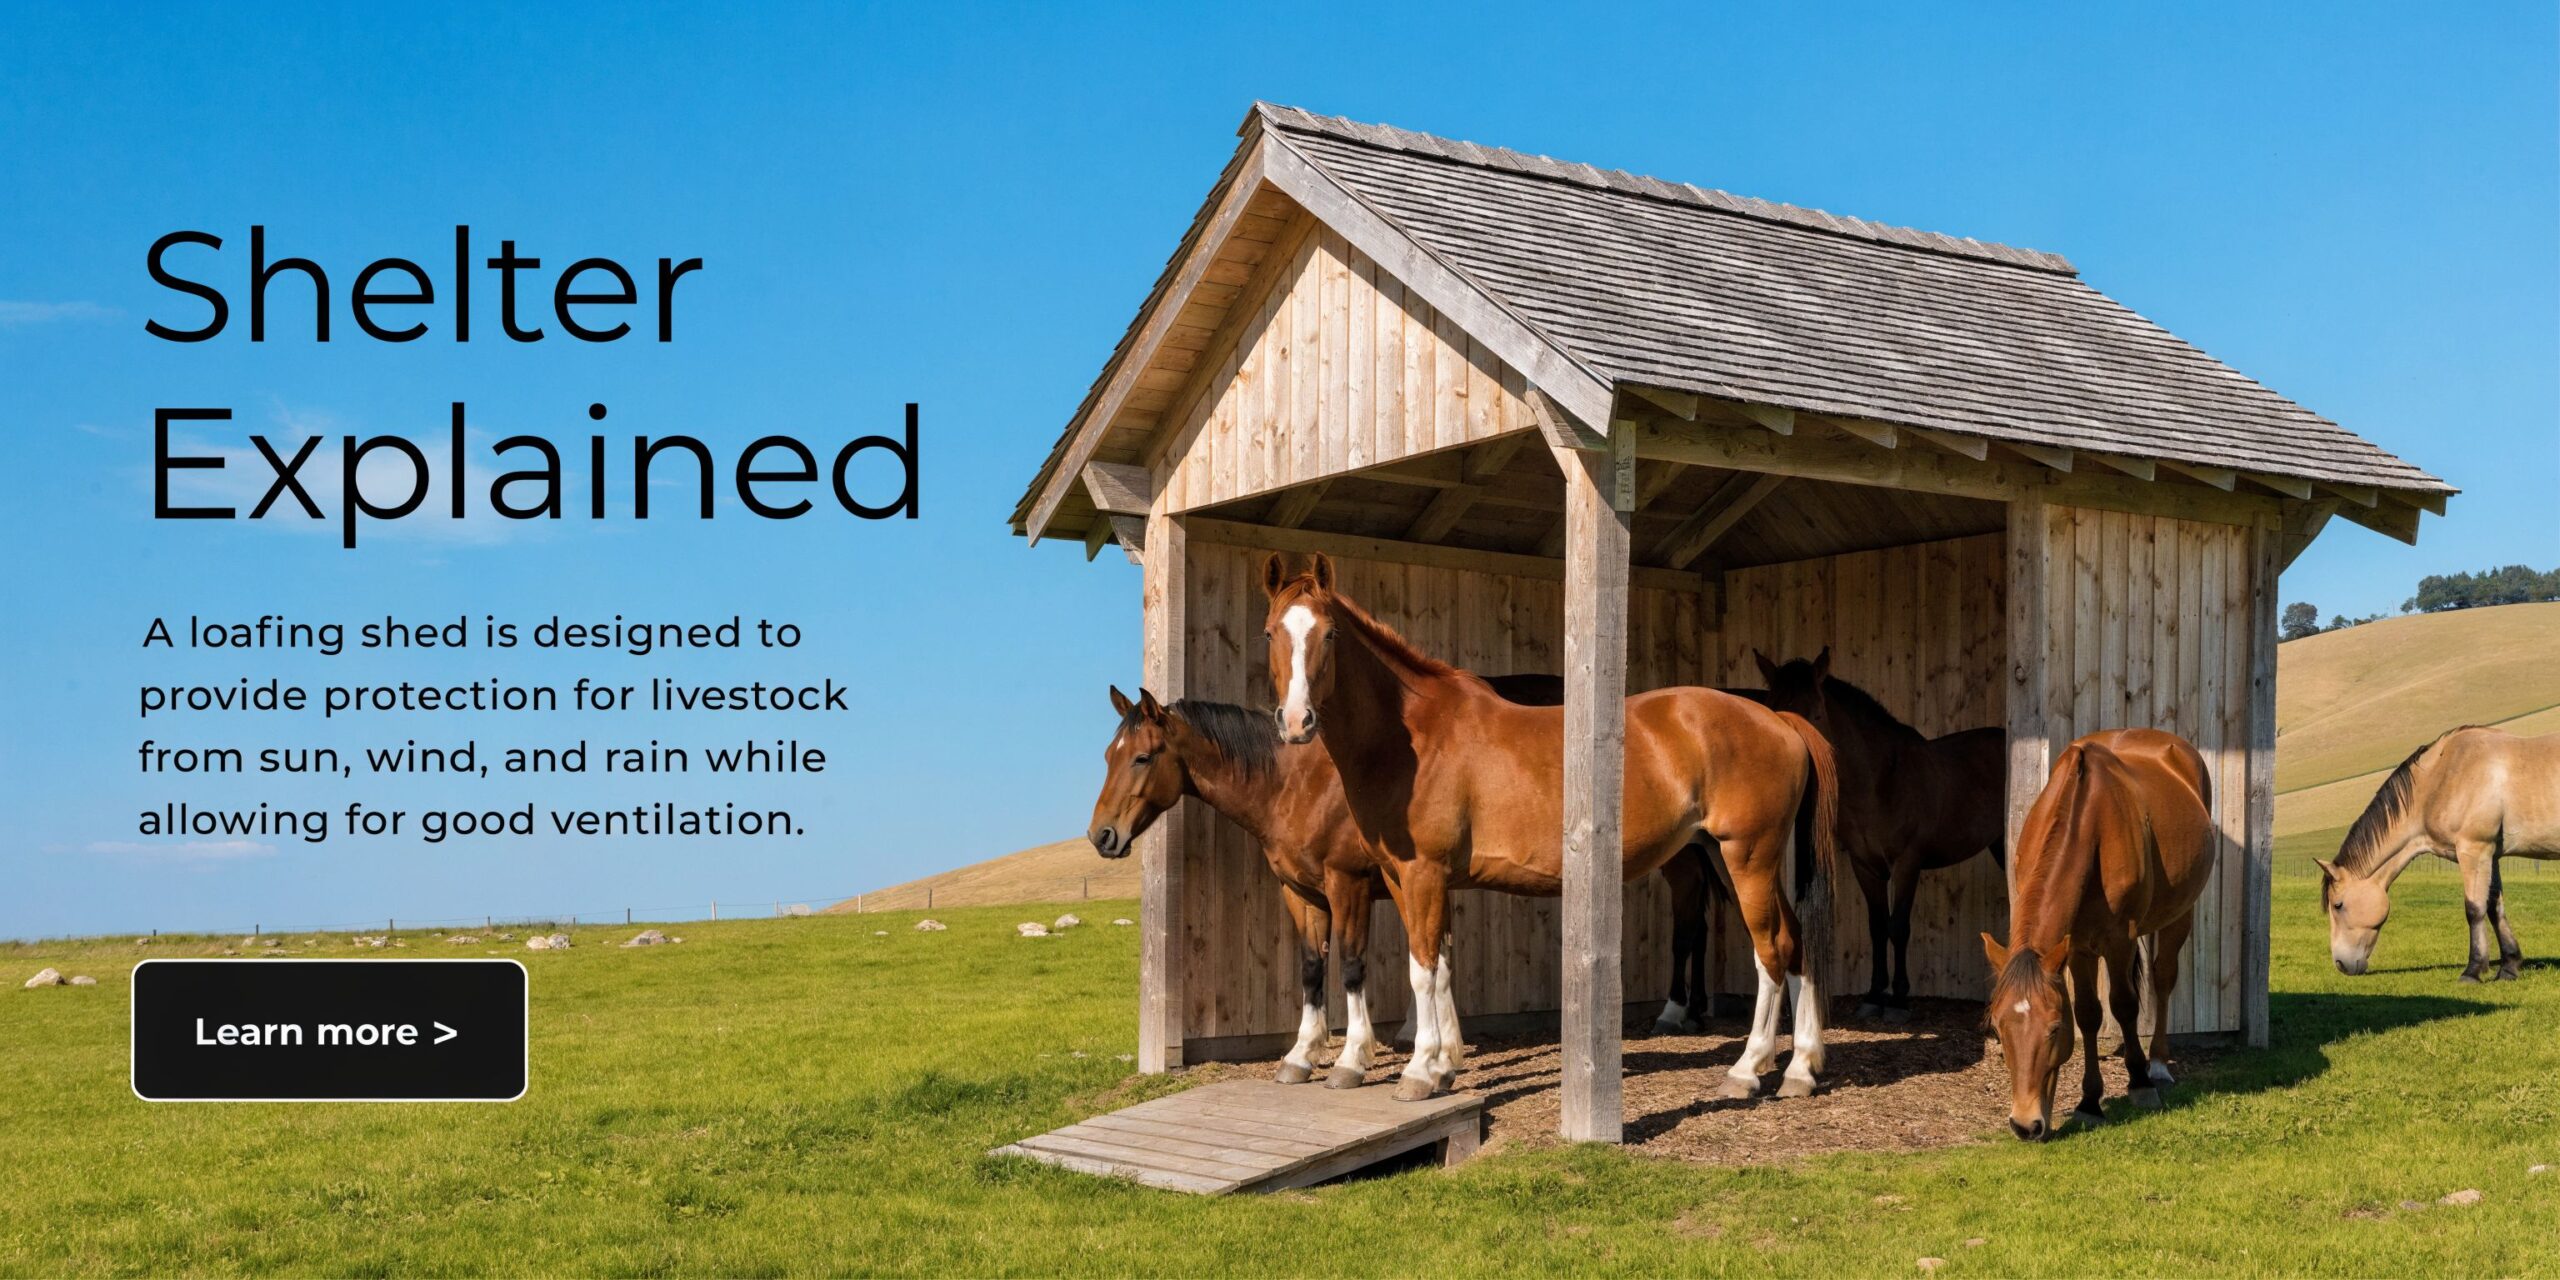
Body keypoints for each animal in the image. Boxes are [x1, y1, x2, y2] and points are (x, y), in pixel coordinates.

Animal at [1086, 686, 1728, 1089]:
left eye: (1142, 758)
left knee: (1695, 927)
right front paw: (1304, 1055)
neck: (1299, 784)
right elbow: (1316, 969)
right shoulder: (1302, 892)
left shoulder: (1346, 886)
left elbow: (1353, 966)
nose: (1102, 836)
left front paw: (1356, 1058)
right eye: (1108, 755)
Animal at [1259, 552, 1840, 1103]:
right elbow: (1439, 966)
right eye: (1270, 632)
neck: (1412, 739)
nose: (1296, 722)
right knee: (1796, 941)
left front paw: (1418, 1071)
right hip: (1731, 857)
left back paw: (1747, 1070)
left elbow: (1421, 969)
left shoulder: (1421, 874)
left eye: (1329, 634)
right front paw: (1443, 1066)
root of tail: (1779, 720)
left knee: (1772, 950)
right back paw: (1801, 1069)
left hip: (1747, 857)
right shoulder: (1403, 879)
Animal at [1755, 649, 2005, 1020]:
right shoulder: (1865, 865)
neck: (1880, 782)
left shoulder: (1907, 863)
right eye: (1773, 709)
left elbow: (1898, 926)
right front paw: (1874, 995)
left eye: (1816, 714)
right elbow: (1877, 926)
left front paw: (1899, 1000)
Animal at [1981, 729, 2214, 1141]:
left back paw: (2157, 1064)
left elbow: (2123, 1005)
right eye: (1998, 1027)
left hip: (2179, 914)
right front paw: (2089, 1102)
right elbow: (2089, 1013)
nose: (2025, 1125)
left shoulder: (2118, 939)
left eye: (2054, 1029)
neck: (2087, 821)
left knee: (2163, 978)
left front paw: (2139, 1084)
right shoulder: (2075, 946)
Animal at [2316, 726, 2560, 982]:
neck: (2443, 777)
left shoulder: (2474, 850)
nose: (2341, 964)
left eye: (2338, 905)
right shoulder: (2491, 856)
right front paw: (2509, 968)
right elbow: (2494, 908)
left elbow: (2475, 909)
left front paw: (2473, 971)